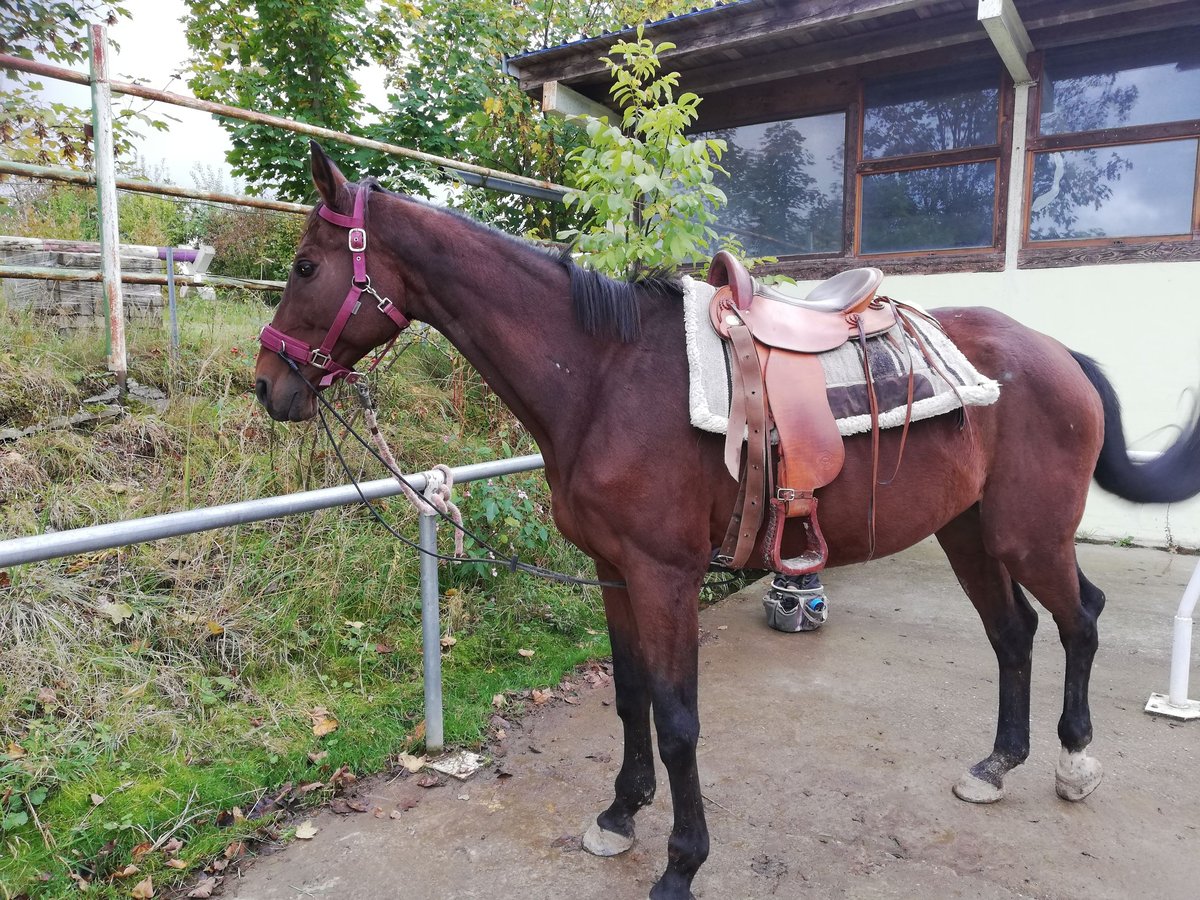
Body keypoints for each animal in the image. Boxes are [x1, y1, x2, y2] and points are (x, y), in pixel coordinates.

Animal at [253, 144, 1200, 897]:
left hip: (1026, 535)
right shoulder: (613, 570)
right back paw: (997, 766)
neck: (604, 376)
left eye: (303, 267)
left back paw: (1074, 763)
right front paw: (619, 815)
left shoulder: (665, 574)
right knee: (1013, 633)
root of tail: (1058, 353)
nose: (267, 384)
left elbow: (678, 721)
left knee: (1080, 620)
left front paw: (681, 863)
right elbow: (631, 697)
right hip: (966, 531)